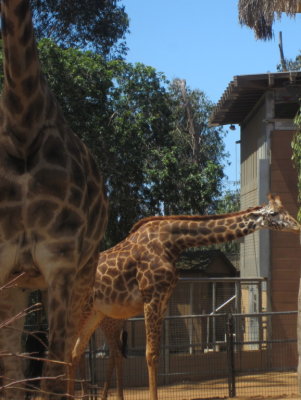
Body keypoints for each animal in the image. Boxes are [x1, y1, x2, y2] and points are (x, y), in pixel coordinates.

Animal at [0, 1, 108, 398]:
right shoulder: (3, 263)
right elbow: (13, 374)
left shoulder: (59, 260)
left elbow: (52, 375)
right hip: (21, 285)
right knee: (20, 366)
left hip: (82, 276)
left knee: (69, 358)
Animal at [69, 195, 298, 400]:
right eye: (274, 213)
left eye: (285, 209)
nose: (296, 226)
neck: (174, 243)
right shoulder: (152, 297)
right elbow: (151, 354)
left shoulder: (163, 300)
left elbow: (155, 354)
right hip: (83, 311)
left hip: (95, 313)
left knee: (75, 352)